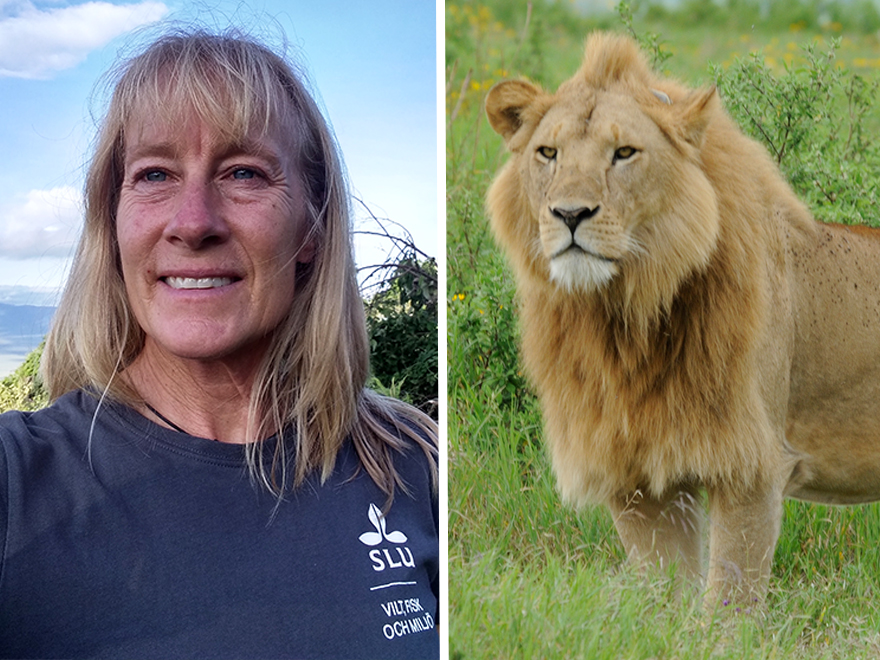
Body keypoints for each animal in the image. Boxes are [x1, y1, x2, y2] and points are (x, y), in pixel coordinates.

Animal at [484, 32, 880, 608]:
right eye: (548, 153)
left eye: (624, 153)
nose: (570, 214)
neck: (623, 320)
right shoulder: (637, 476)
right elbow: (664, 601)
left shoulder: (753, 466)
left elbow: (728, 607)